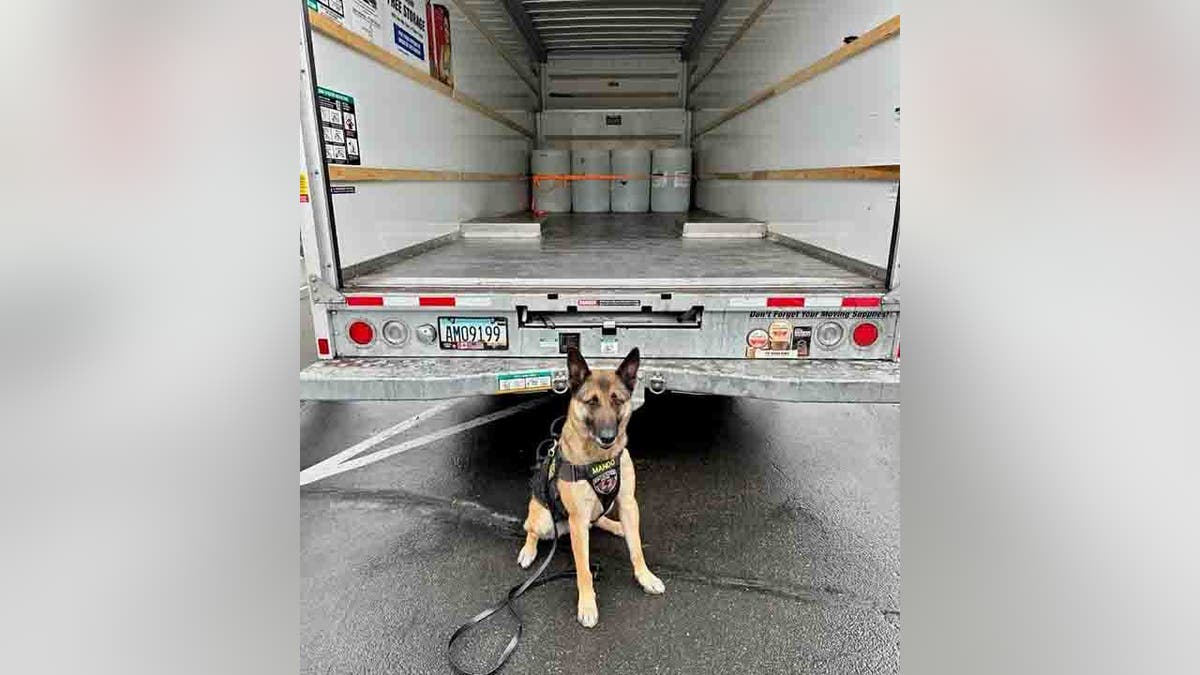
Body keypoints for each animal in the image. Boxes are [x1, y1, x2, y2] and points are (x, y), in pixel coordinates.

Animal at [516, 345, 667, 624]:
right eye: (592, 401)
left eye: (617, 400)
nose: (608, 437)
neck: (599, 459)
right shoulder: (578, 518)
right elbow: (583, 569)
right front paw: (587, 605)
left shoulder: (628, 504)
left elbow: (637, 550)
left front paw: (645, 577)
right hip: (543, 520)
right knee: (531, 530)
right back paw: (528, 551)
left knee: (598, 521)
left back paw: (616, 526)